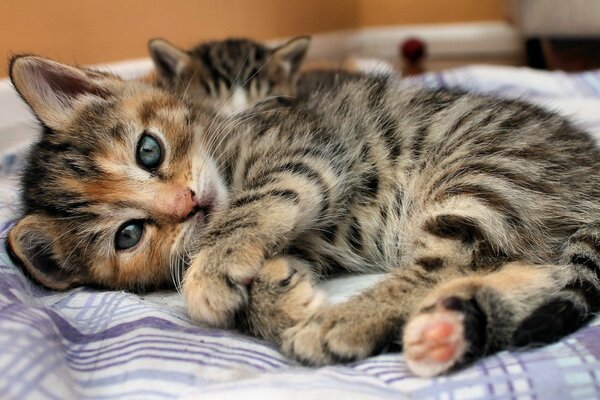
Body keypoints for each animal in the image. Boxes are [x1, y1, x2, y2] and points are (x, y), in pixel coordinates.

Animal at [7, 54, 600, 378]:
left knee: (448, 261)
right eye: (128, 235)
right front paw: (276, 298)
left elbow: (252, 207)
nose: (187, 204)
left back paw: (344, 323)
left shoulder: (307, 153)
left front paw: (213, 270)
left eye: (148, 151)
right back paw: (449, 326)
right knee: (534, 270)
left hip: (483, 174)